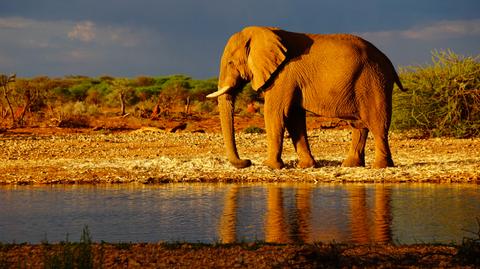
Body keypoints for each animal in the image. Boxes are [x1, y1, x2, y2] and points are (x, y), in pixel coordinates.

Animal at [206, 25, 404, 168]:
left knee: (377, 123)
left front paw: (270, 166)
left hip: (374, 80)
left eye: (230, 63)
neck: (263, 32)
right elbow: (294, 118)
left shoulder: (284, 75)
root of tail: (389, 62)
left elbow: (275, 114)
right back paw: (351, 165)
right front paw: (307, 166)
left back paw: (380, 167)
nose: (247, 162)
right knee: (359, 125)